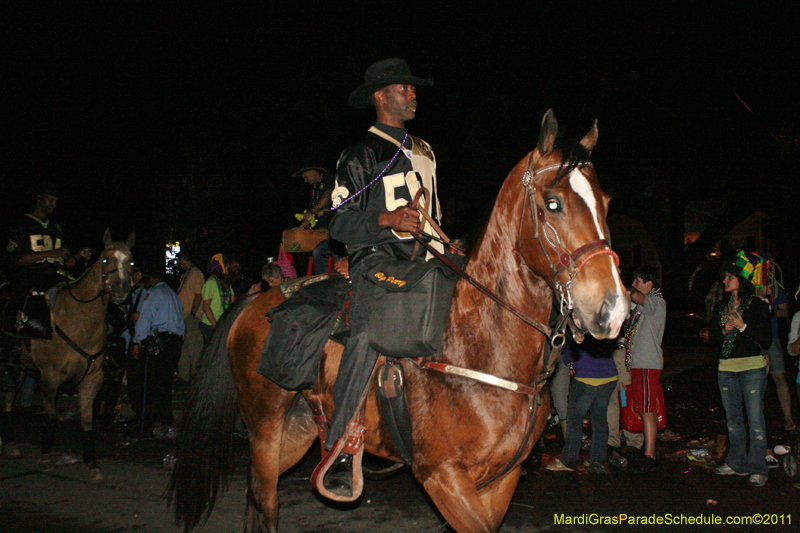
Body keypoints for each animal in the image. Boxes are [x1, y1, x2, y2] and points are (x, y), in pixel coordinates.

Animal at [1, 229, 134, 478]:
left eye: (130, 262)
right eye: (105, 260)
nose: (121, 291)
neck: (80, 320)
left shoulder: (92, 380)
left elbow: (87, 421)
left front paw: (92, 463)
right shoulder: (50, 377)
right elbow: (51, 416)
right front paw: (45, 456)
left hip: (18, 368)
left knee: (7, 397)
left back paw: (11, 443)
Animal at [170, 110, 632, 528]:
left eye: (607, 204)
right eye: (552, 203)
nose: (612, 309)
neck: (479, 344)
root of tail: (253, 301)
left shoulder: (499, 479)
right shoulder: (442, 476)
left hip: (296, 432)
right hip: (265, 430)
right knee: (266, 502)